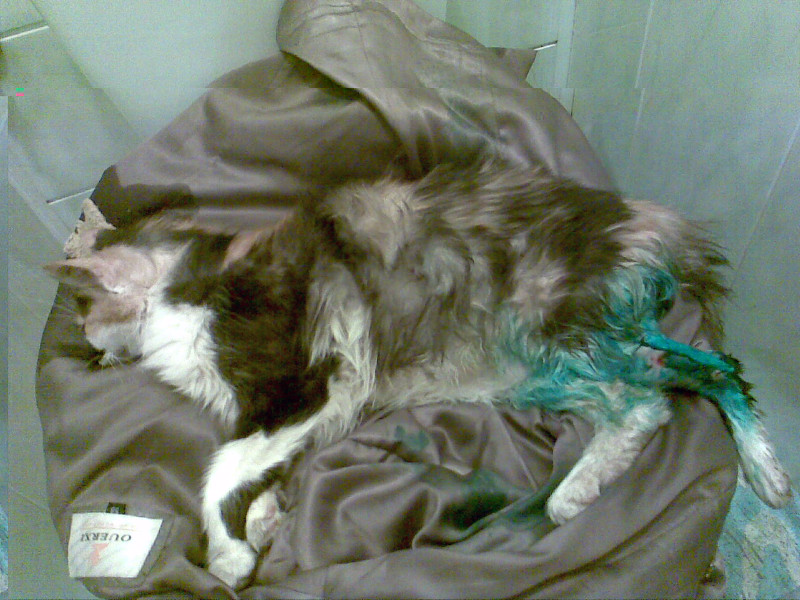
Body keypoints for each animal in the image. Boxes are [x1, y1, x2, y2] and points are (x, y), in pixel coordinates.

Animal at [46, 162, 792, 589]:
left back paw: (573, 496)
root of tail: (646, 226)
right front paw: (263, 518)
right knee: (710, 373)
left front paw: (229, 554)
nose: (90, 356)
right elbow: (258, 468)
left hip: (549, 330)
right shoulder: (308, 409)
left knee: (644, 403)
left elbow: (219, 467)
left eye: (83, 317)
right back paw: (767, 474)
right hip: (554, 364)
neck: (189, 282)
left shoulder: (304, 384)